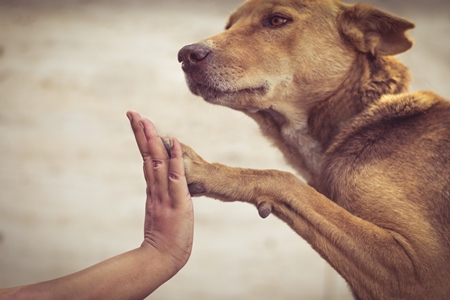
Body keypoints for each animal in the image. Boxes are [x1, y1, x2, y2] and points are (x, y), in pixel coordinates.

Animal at [175, 0, 450, 298]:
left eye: (277, 20)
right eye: (229, 26)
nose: (185, 55)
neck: (353, 120)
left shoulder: (419, 269)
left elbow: (283, 179)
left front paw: (206, 171)